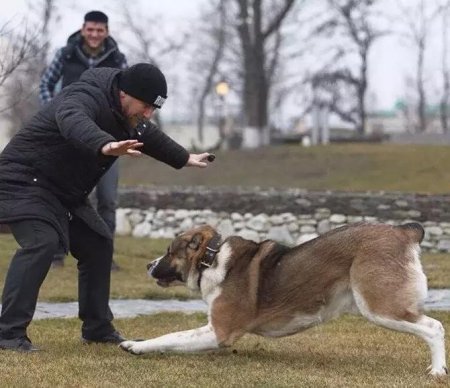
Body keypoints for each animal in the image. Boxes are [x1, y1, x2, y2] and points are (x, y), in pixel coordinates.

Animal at [118, 223, 446, 378]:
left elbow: (170, 336)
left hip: (380, 307)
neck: (211, 259)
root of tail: (405, 231)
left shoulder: (218, 332)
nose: (148, 265)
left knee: (435, 328)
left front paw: (136, 346)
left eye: (169, 251)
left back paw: (437, 371)